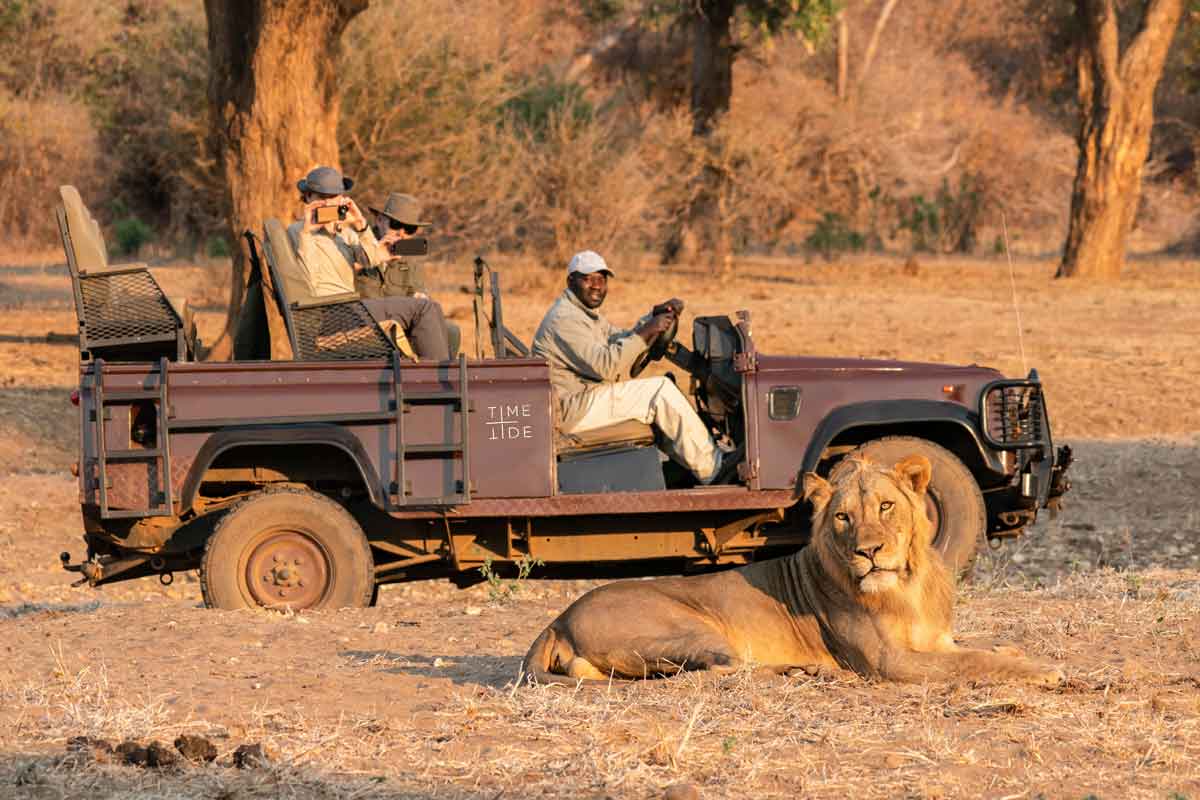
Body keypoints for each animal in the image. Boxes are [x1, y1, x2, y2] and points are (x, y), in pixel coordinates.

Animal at [520, 453, 1065, 686]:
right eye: (844, 517)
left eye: (886, 506)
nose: (868, 551)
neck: (906, 586)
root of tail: (558, 619)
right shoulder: (890, 661)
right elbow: (974, 661)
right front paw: (1043, 670)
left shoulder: (932, 640)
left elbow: (980, 646)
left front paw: (1014, 648)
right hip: (689, 628)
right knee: (718, 672)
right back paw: (809, 671)